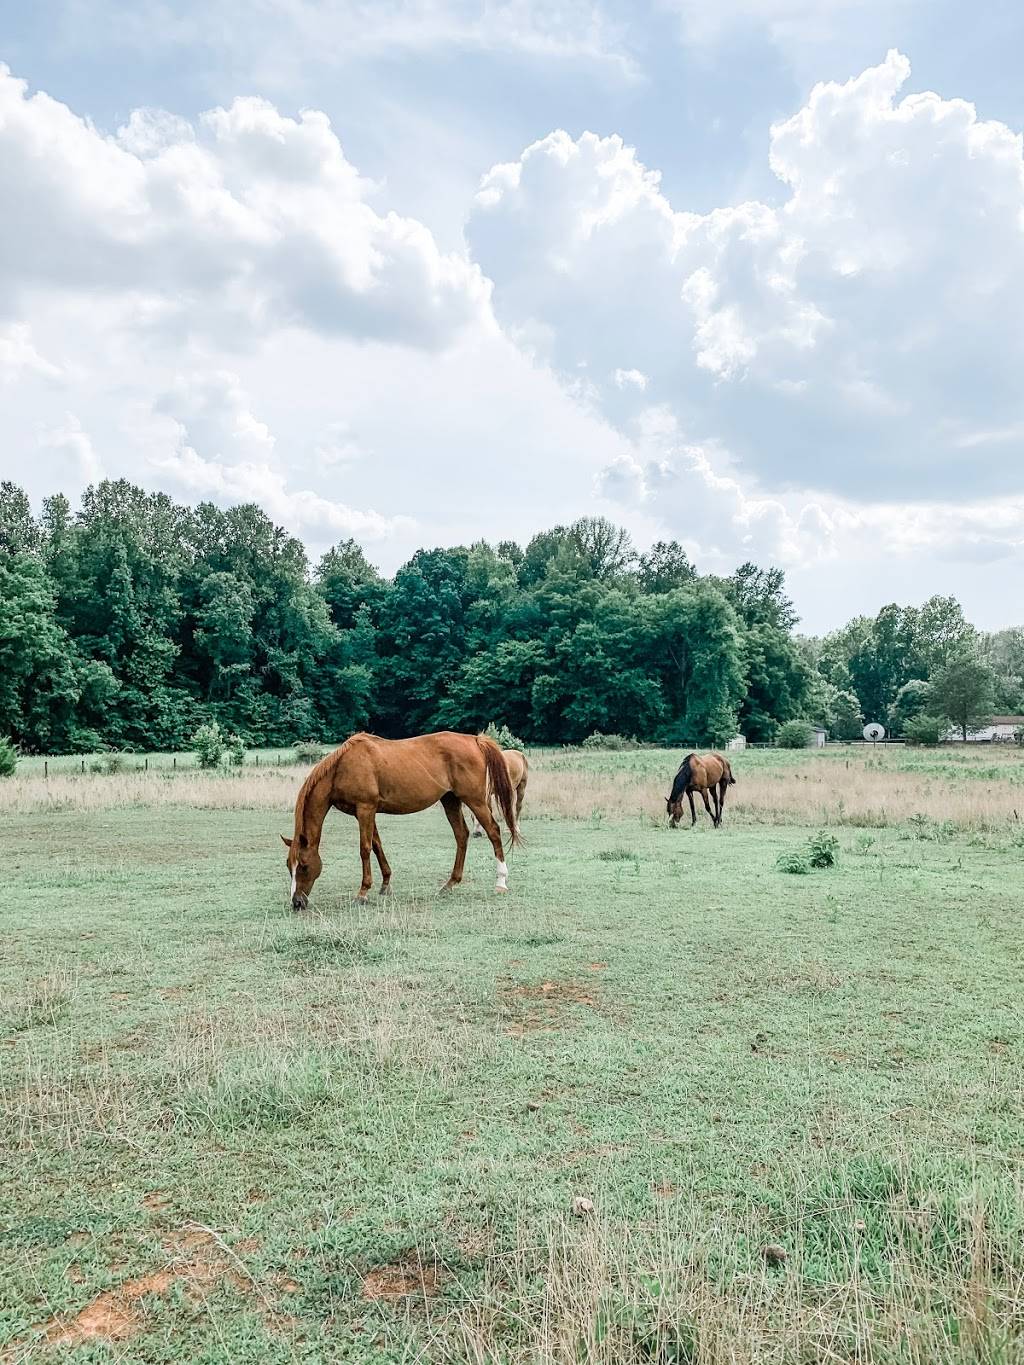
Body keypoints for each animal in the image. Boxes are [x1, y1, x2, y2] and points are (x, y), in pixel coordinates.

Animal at [281, 731, 521, 911]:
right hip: (450, 800)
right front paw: (385, 884)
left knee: (493, 831)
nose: (297, 902)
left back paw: (501, 882)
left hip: (475, 800)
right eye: (288, 866)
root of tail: (474, 740)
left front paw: (363, 892)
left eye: (303, 866)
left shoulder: (365, 809)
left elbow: (365, 848)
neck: (342, 767)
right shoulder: (367, 812)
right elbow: (377, 845)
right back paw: (450, 883)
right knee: (461, 835)